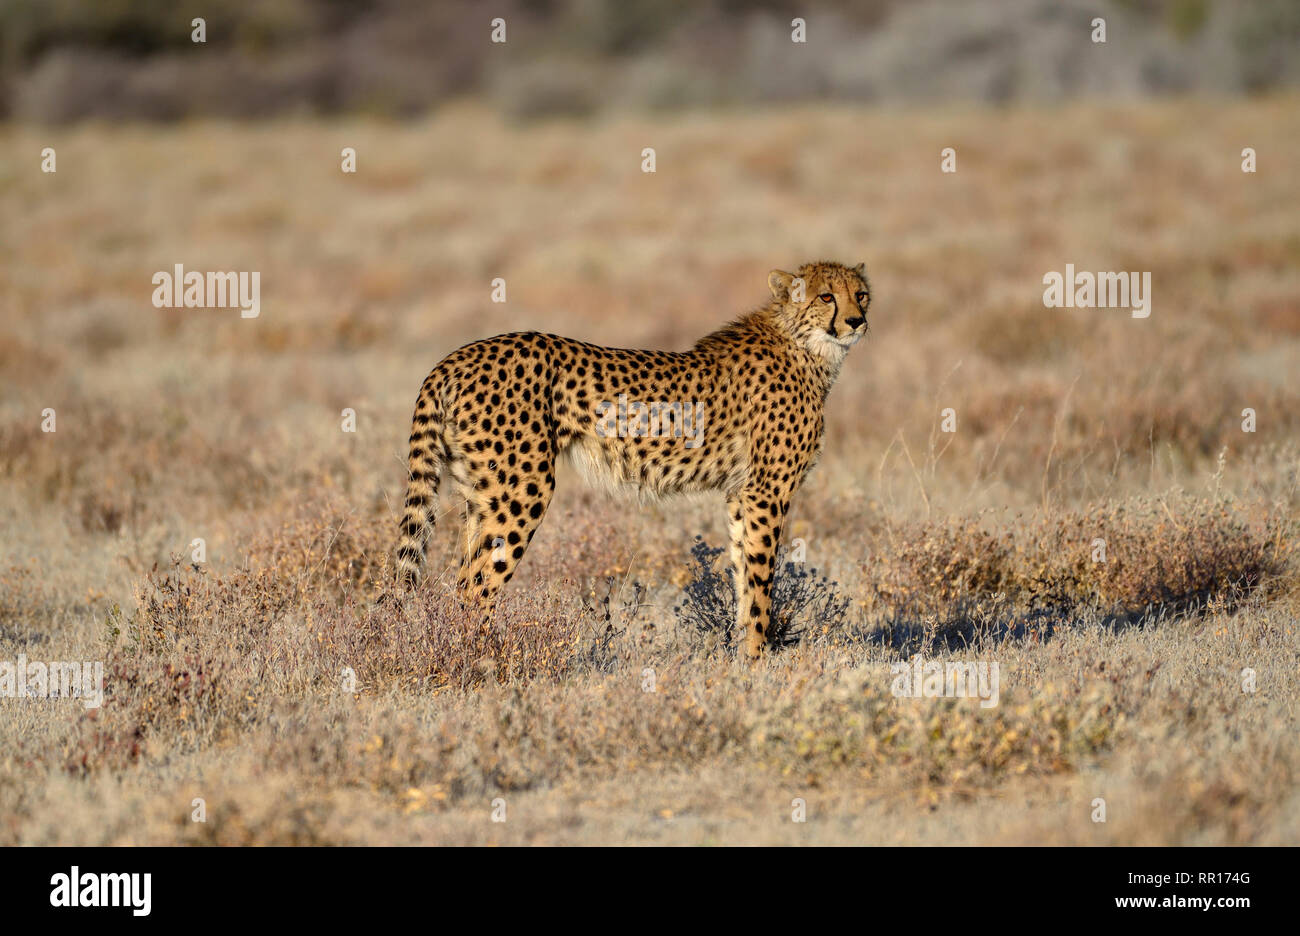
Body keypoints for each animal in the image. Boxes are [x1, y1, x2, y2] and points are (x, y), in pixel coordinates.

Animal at [395, 261, 873, 657]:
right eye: (826, 296)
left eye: (861, 294)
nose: (857, 321)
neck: (806, 345)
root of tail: (456, 356)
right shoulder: (765, 493)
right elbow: (760, 585)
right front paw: (757, 664)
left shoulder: (741, 495)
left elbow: (742, 572)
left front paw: (741, 656)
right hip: (521, 490)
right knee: (477, 587)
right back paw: (482, 659)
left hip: (479, 496)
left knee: (460, 581)